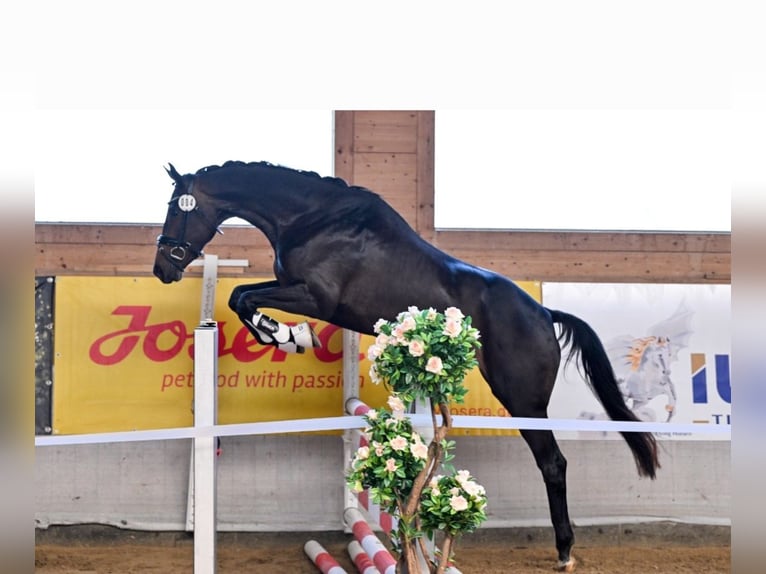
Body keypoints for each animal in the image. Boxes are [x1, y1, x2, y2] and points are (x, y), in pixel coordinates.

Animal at [154, 160, 660, 572]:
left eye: (177, 208)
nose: (162, 268)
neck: (313, 219)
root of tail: (543, 313)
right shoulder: (297, 290)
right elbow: (243, 296)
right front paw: (286, 335)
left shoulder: (315, 297)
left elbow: (244, 298)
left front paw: (285, 335)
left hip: (523, 399)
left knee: (553, 463)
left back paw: (564, 551)